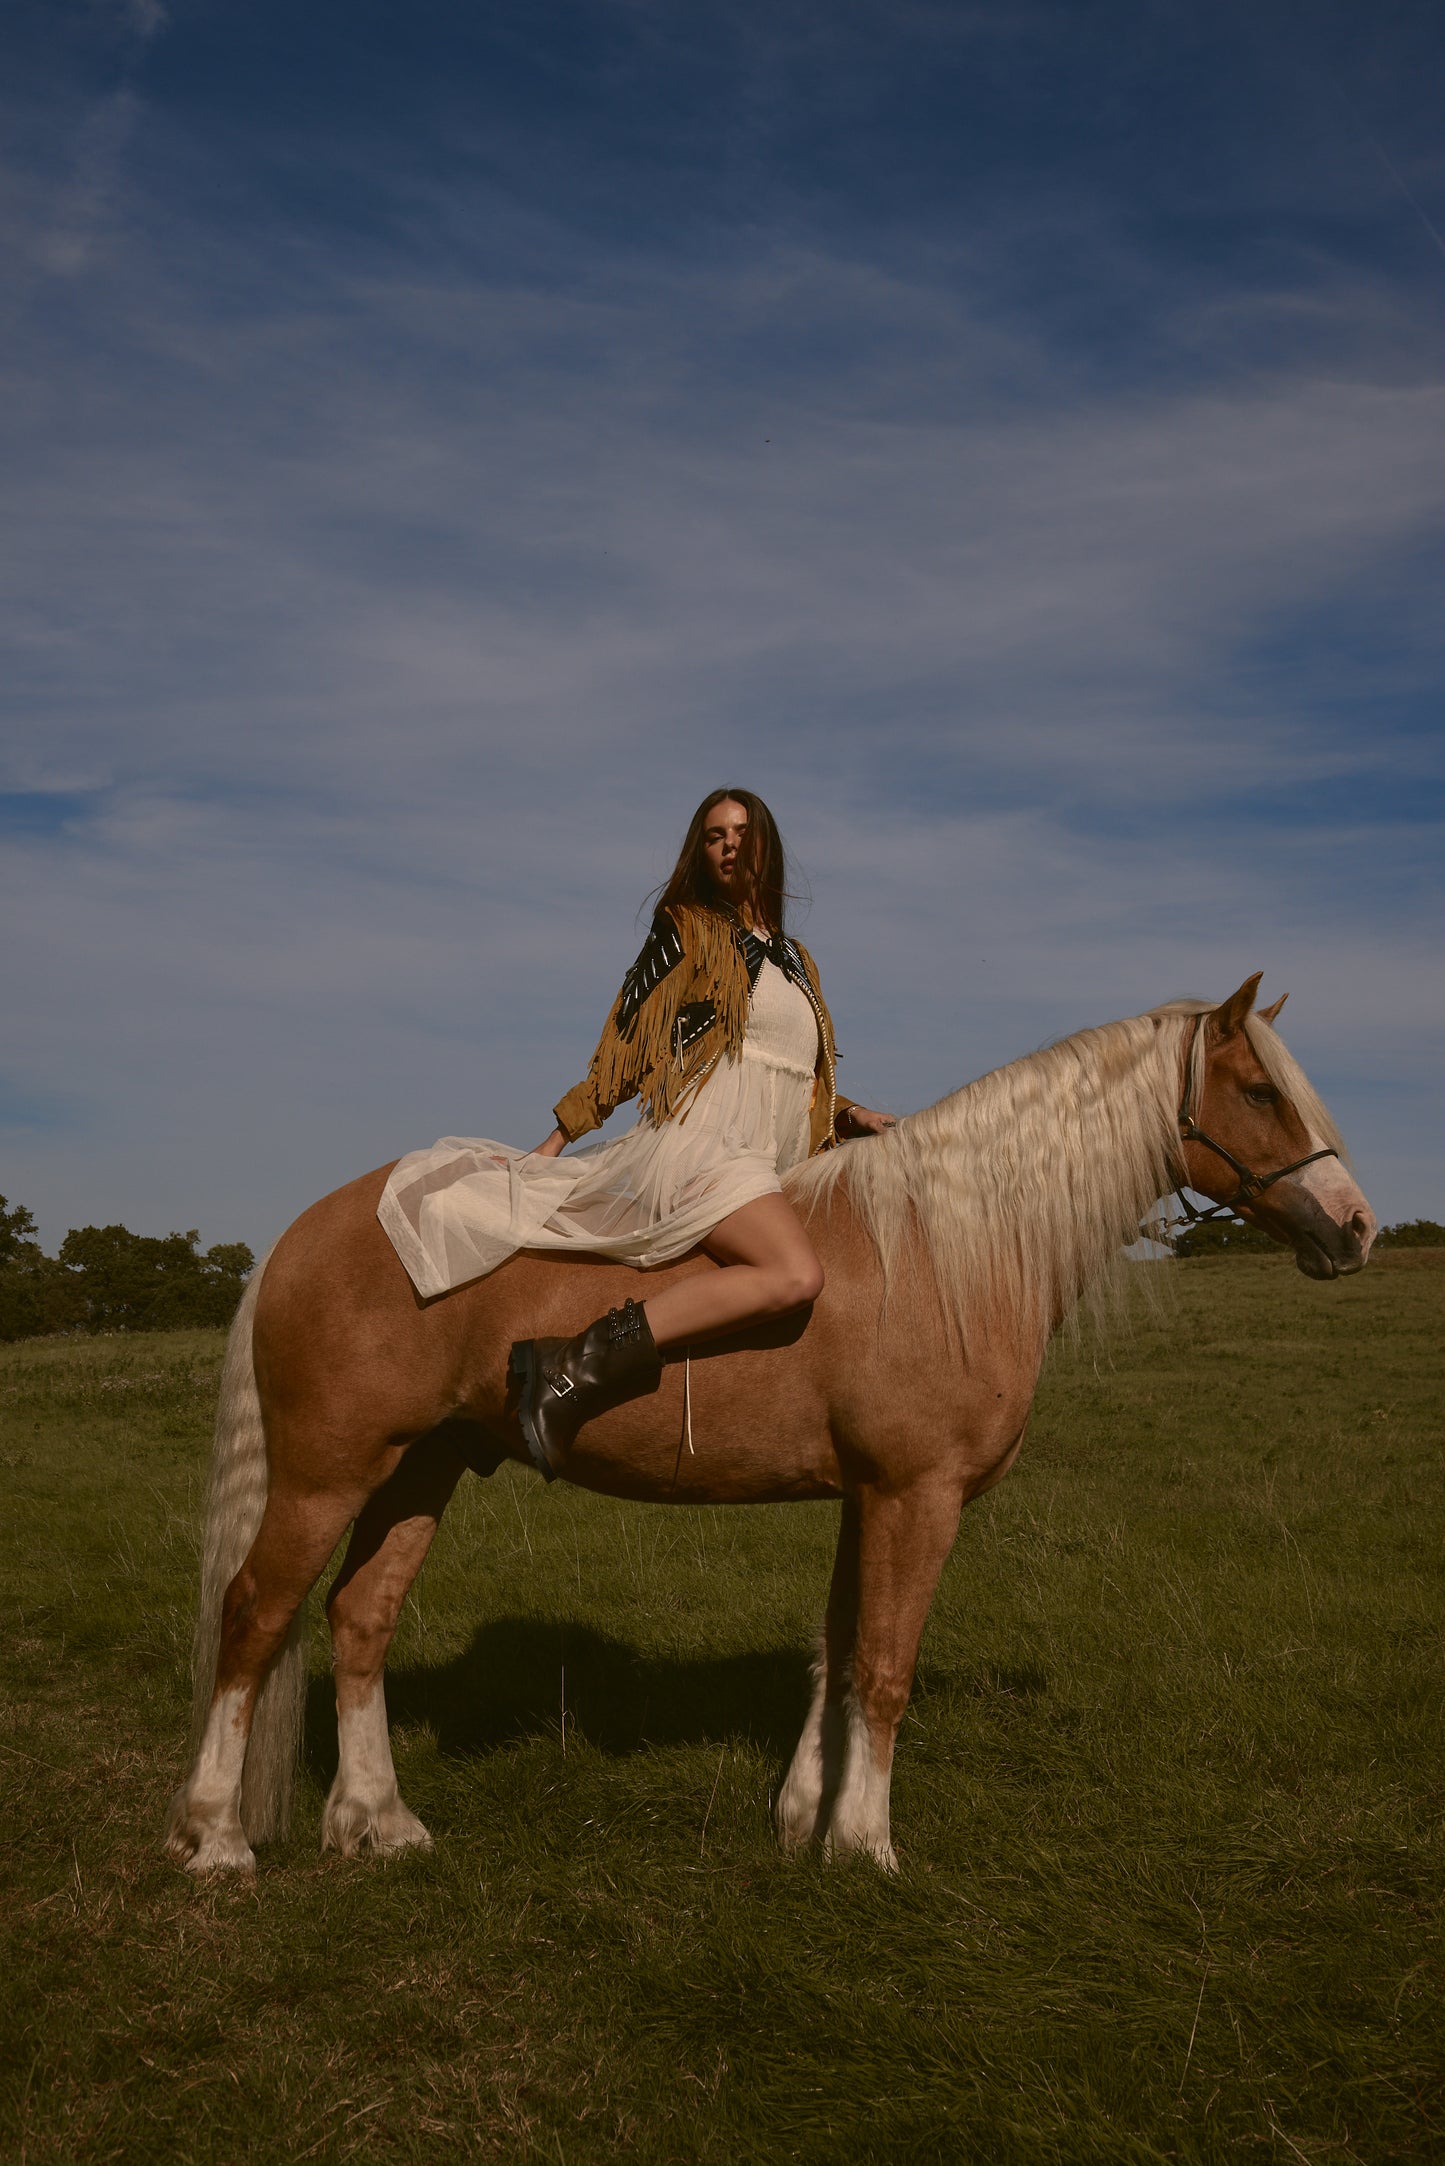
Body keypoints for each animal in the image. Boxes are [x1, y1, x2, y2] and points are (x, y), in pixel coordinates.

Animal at [163, 983, 1377, 1880]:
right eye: (1259, 1088)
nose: (1355, 1228)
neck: (937, 1247)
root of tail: (307, 1228)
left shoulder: (865, 1495)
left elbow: (835, 1651)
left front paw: (803, 1819)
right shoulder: (916, 1496)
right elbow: (883, 1665)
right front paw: (866, 1845)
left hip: (421, 1468)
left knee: (359, 1619)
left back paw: (378, 1821)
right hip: (325, 1474)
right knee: (254, 1615)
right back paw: (216, 1837)